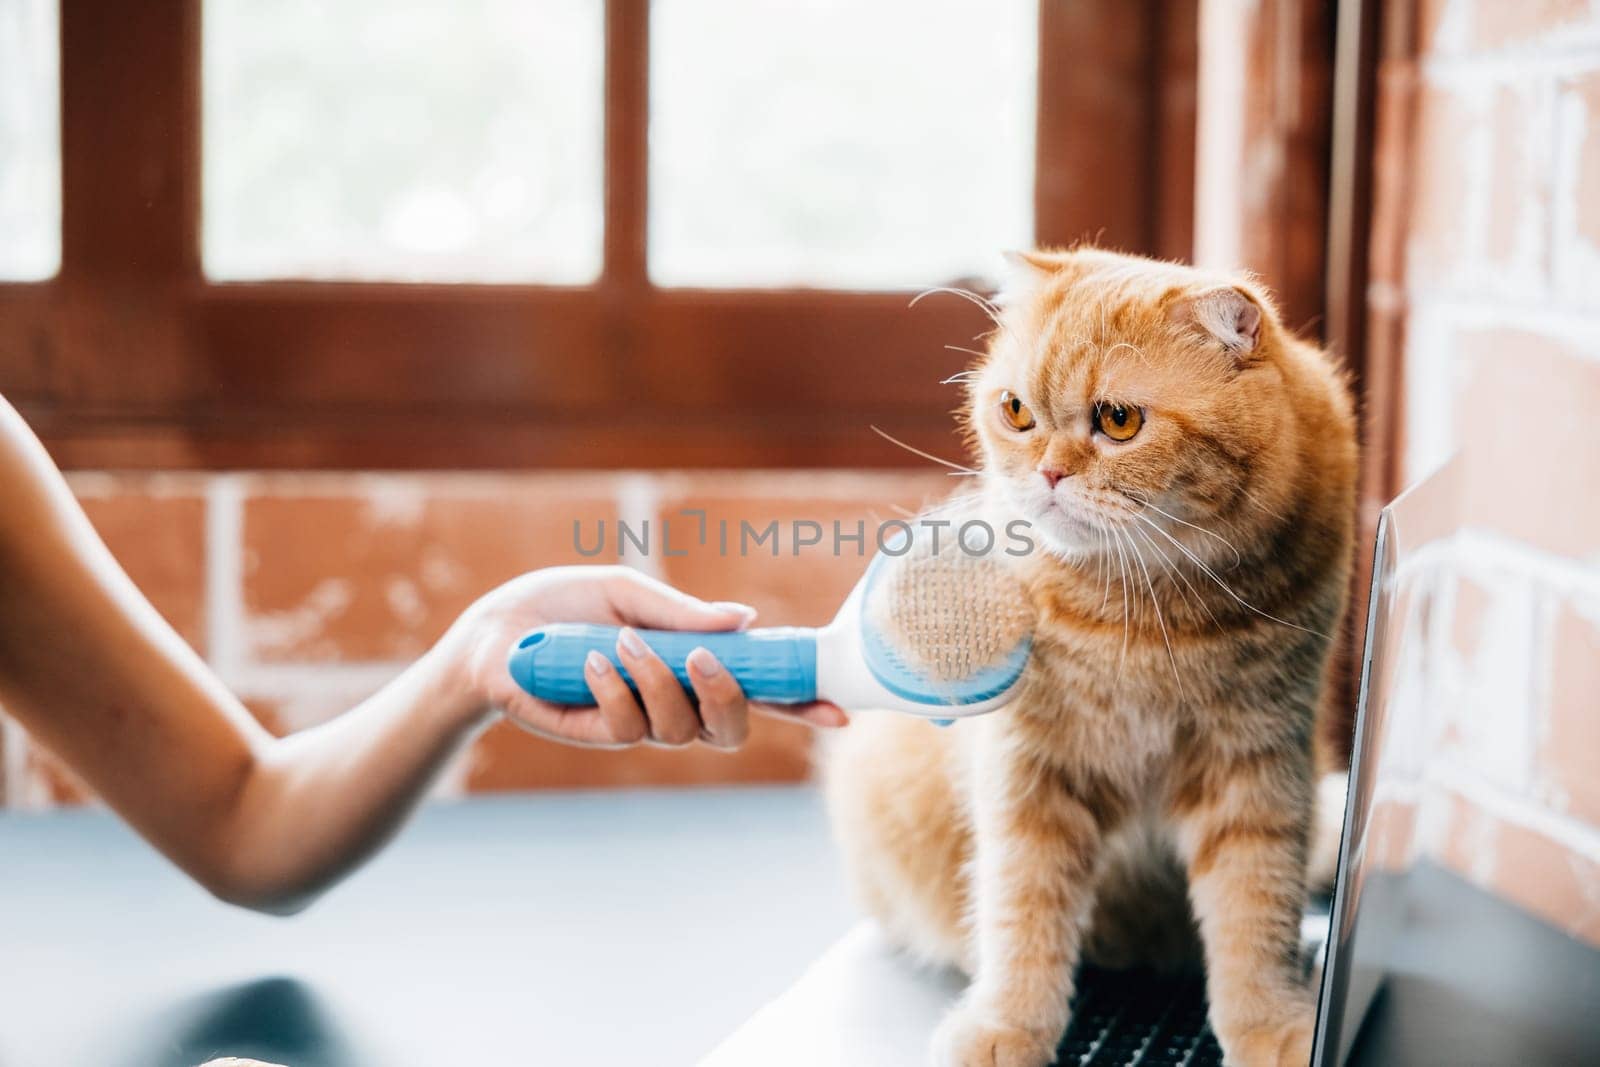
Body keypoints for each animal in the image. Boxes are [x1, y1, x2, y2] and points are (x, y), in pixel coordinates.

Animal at [832, 246, 1356, 1062]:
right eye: (1017, 411)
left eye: (1118, 420)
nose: (1048, 473)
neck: (1147, 611)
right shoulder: (1031, 773)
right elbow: (1023, 908)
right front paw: (1009, 1023)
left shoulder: (1257, 762)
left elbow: (1256, 905)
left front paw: (1271, 1020)